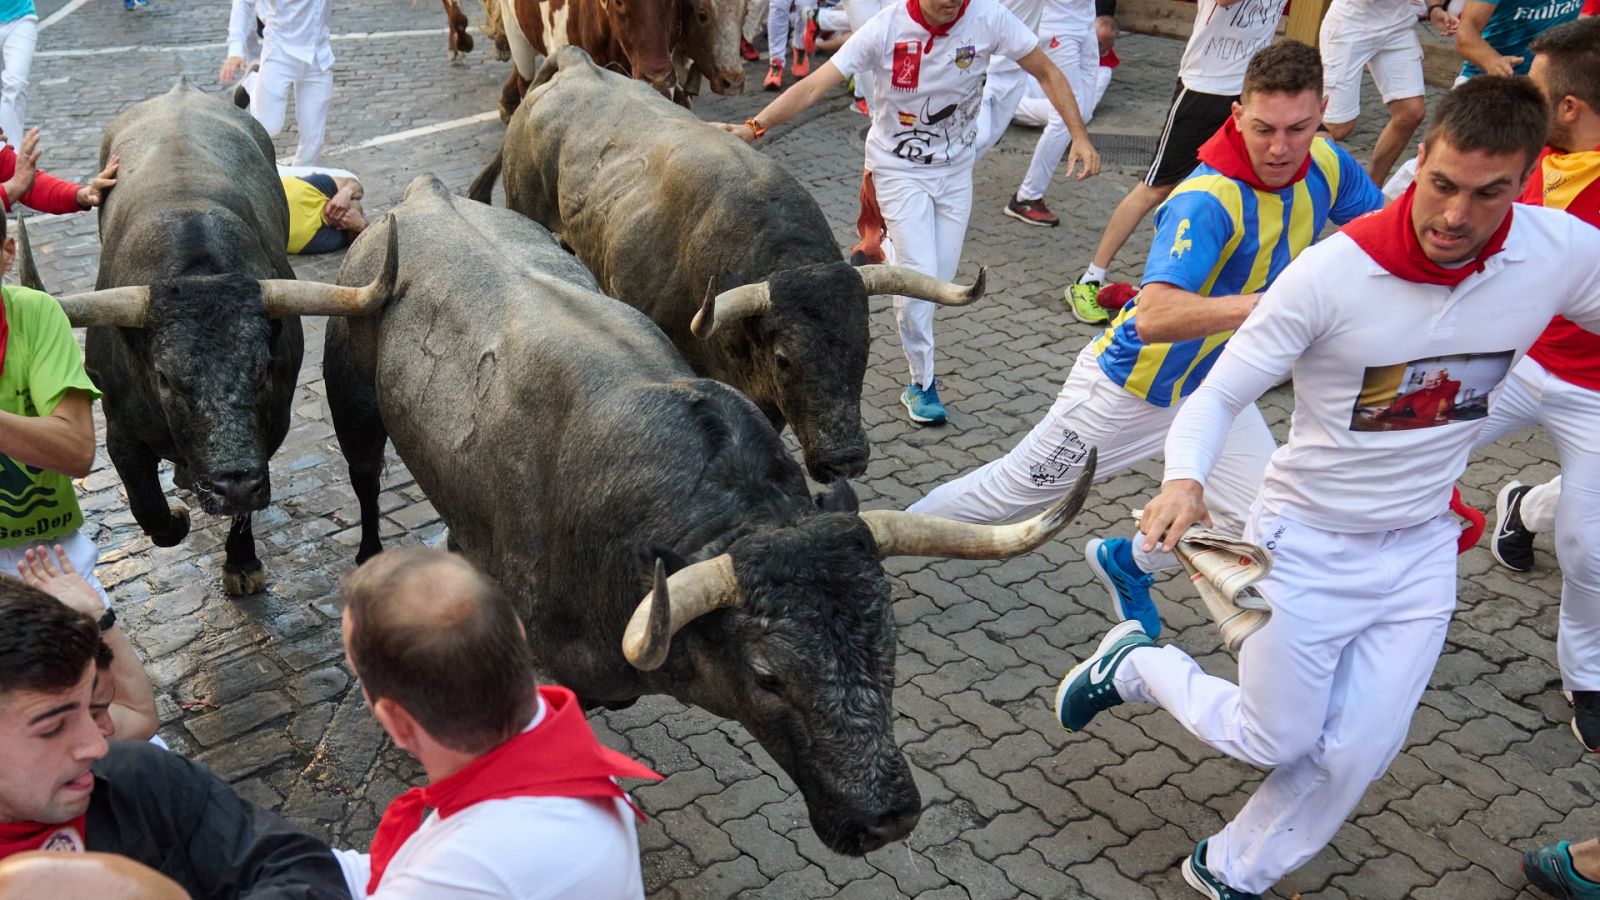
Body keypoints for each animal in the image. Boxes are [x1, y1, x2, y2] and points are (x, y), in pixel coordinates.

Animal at [32, 80, 398, 592]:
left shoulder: (270, 426)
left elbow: (241, 512)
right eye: (164, 378)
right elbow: (150, 510)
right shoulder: (119, 430)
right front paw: (180, 516)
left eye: (263, 370)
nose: (233, 482)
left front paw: (241, 563)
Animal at [326, 175, 1100, 851]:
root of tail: (426, 193)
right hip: (354, 408)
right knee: (363, 486)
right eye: (767, 676)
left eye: (889, 644)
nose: (886, 818)